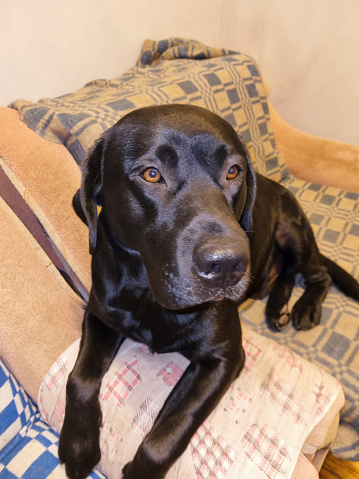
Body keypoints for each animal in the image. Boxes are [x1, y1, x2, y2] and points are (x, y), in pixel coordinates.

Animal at [59, 105, 359, 479]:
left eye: (233, 171)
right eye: (151, 174)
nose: (228, 264)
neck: (150, 295)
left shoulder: (224, 357)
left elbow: (170, 431)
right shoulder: (100, 315)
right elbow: (80, 377)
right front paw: (78, 446)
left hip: (292, 229)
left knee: (319, 274)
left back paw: (303, 309)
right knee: (286, 275)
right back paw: (277, 309)